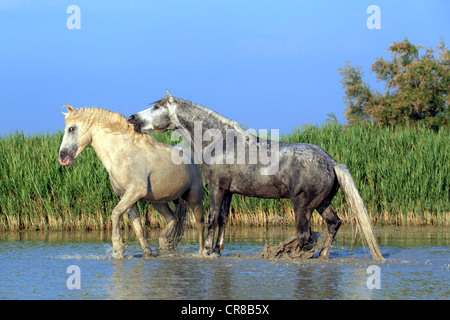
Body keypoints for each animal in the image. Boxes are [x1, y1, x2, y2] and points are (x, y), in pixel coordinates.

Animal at [57, 105, 204, 258]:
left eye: (71, 128)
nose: (62, 157)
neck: (123, 155)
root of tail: (191, 156)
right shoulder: (128, 197)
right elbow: (137, 227)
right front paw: (147, 253)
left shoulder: (135, 192)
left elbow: (115, 213)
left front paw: (118, 247)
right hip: (158, 201)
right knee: (172, 219)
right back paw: (164, 244)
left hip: (194, 197)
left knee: (200, 224)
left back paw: (202, 251)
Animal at [128, 92, 384, 260]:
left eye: (157, 107)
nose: (132, 118)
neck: (221, 143)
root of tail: (331, 162)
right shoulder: (229, 191)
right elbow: (223, 219)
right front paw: (218, 250)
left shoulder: (217, 188)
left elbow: (211, 219)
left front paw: (208, 251)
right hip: (322, 203)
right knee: (333, 224)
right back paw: (322, 255)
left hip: (303, 205)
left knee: (305, 235)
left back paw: (287, 254)